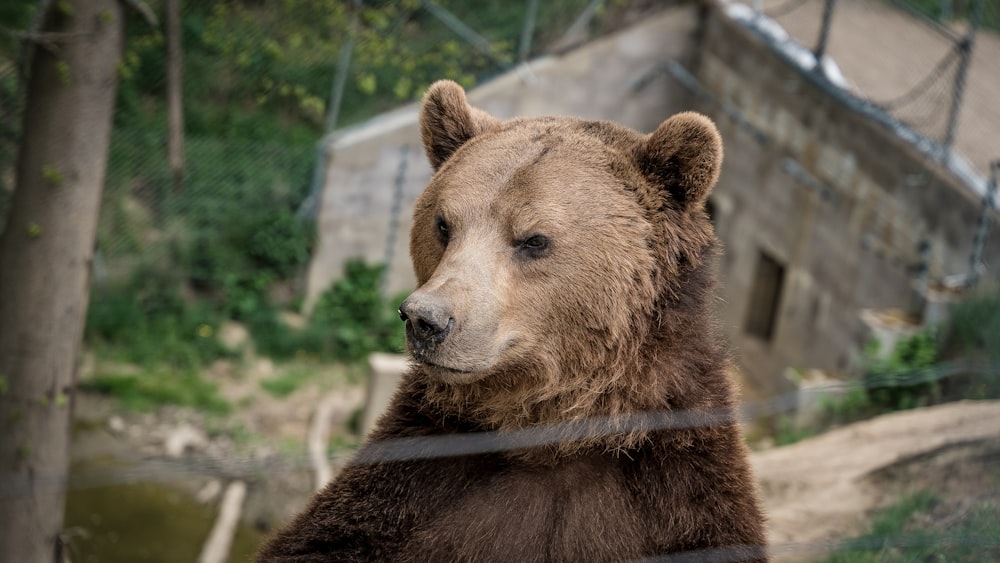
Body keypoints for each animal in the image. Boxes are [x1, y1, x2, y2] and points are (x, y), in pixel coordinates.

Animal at [258, 80, 764, 563]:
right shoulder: (405, 488)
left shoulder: (677, 498)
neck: (554, 431)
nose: (426, 319)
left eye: (533, 240)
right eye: (443, 224)